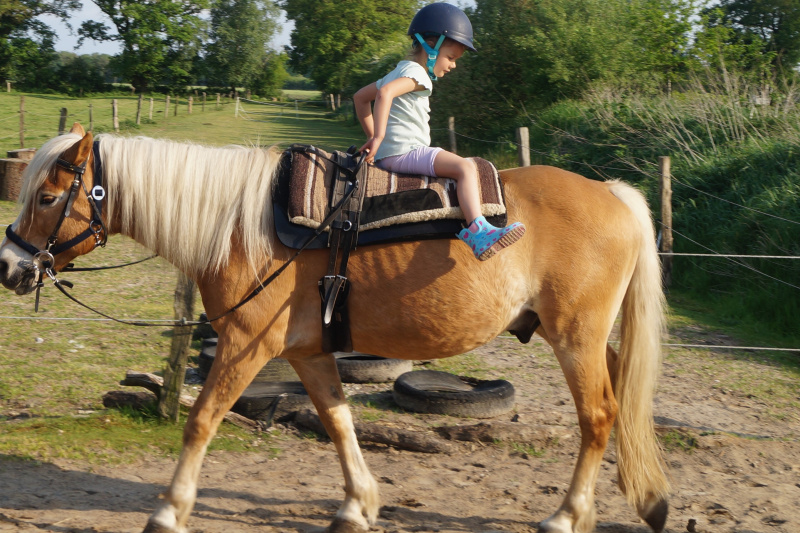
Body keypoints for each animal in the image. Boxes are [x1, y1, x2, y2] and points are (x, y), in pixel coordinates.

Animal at [0, 123, 669, 533]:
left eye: (48, 197)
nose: (9, 267)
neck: (242, 226)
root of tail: (612, 193)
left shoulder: (245, 346)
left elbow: (201, 420)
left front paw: (169, 511)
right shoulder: (307, 353)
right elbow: (338, 420)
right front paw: (358, 504)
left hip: (575, 337)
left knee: (599, 416)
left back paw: (567, 515)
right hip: (590, 340)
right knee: (625, 398)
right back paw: (651, 499)